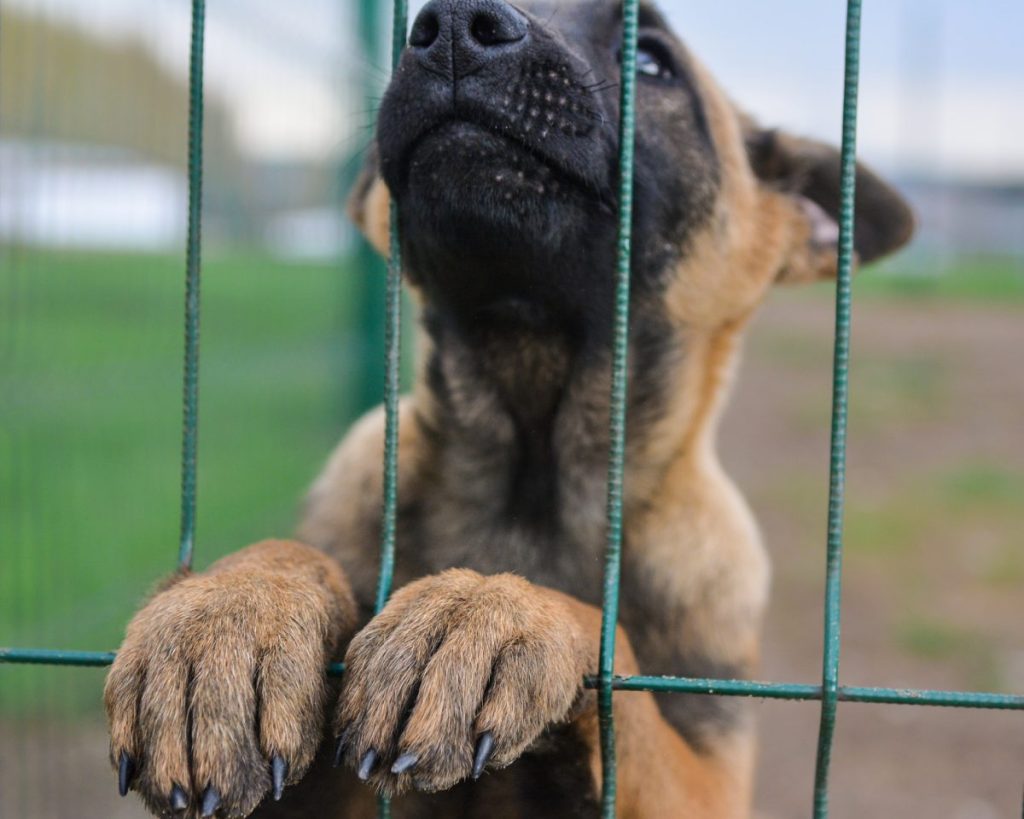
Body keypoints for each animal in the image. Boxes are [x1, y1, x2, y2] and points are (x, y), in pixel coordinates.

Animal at [105, 0, 913, 814]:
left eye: (651, 60)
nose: (454, 27)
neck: (531, 469)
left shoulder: (714, 779)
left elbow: (609, 644)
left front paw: (494, 610)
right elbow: (294, 552)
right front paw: (228, 612)